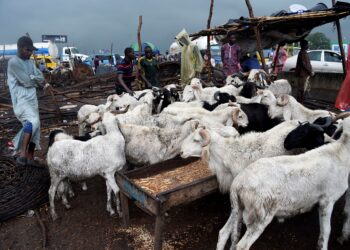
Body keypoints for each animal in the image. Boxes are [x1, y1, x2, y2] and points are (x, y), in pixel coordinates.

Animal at [216, 116, 350, 250]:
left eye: (304, 133)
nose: (286, 143)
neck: (340, 152)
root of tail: (237, 185)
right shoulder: (327, 201)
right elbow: (326, 231)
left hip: (237, 209)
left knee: (224, 232)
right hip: (259, 218)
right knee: (241, 246)